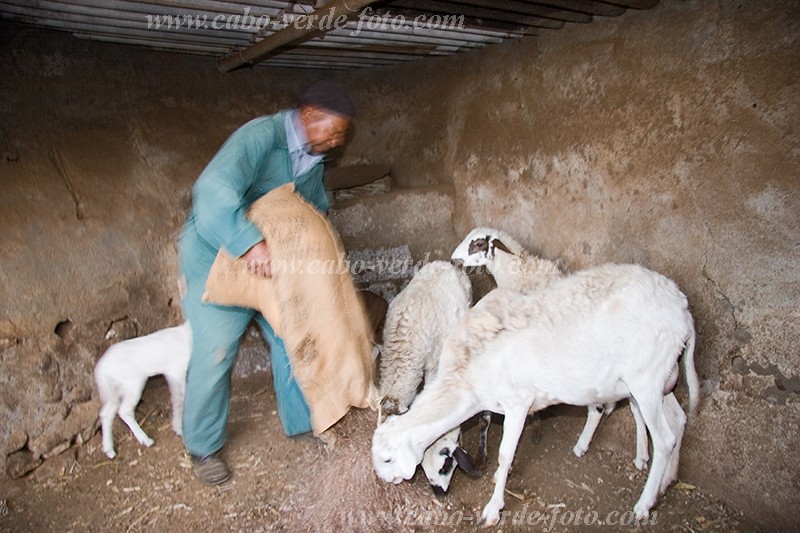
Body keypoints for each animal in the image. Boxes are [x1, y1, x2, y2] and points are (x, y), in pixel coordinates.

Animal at [94, 320, 191, 458]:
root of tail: (101, 369)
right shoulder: (176, 371)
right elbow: (179, 398)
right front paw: (179, 427)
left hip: (114, 390)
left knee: (107, 412)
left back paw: (109, 450)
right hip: (132, 384)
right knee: (124, 411)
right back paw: (146, 440)